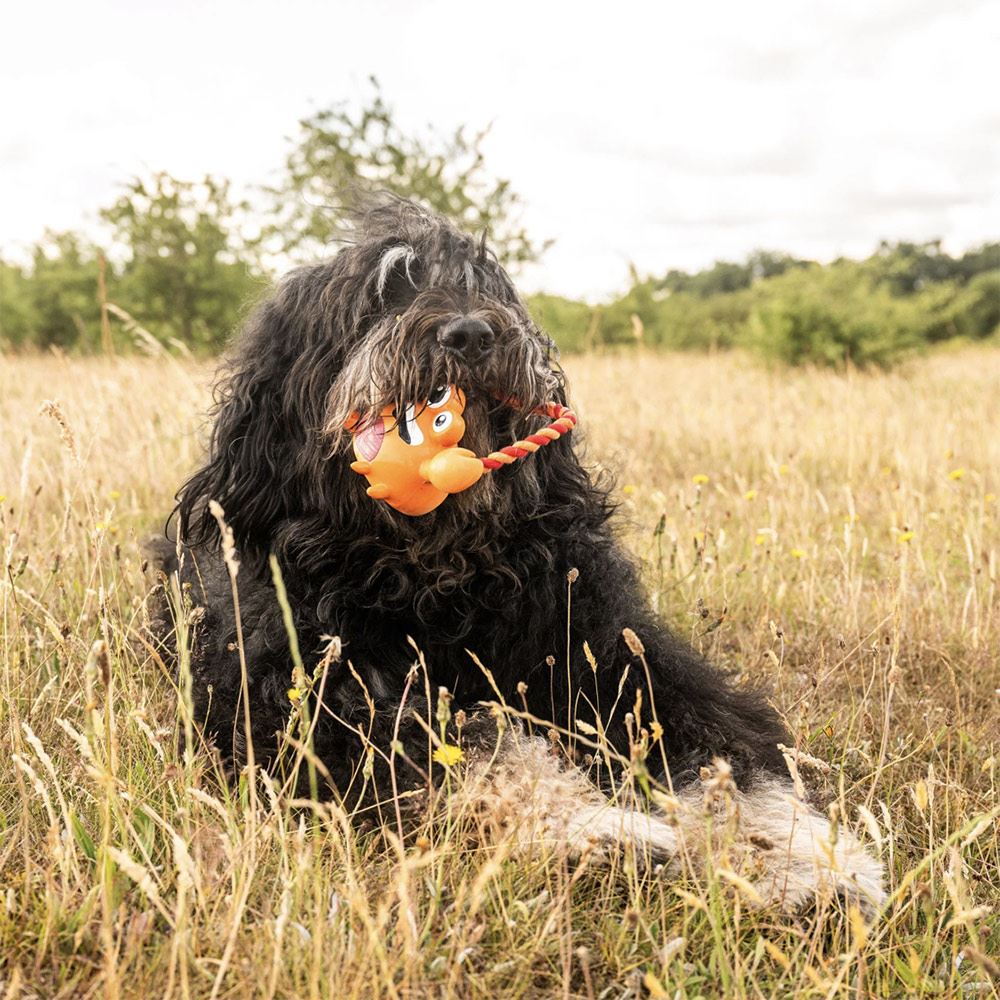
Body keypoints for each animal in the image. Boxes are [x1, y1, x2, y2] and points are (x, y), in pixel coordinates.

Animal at [152, 195, 888, 916]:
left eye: (483, 285)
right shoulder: (301, 700)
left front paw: (791, 857)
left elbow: (721, 757)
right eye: (382, 295)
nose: (471, 335)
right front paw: (603, 830)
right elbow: (479, 751)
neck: (436, 574)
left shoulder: (617, 654)